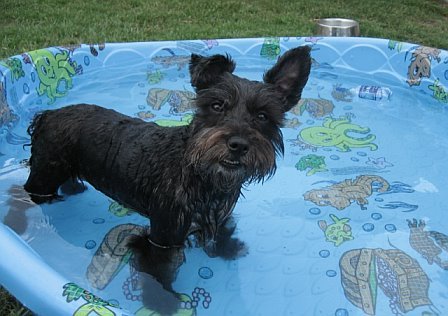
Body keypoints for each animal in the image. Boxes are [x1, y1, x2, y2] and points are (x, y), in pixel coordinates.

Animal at [23, 45, 312, 312]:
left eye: (263, 116)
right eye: (217, 105)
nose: (238, 145)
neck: (200, 174)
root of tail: (48, 114)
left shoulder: (218, 215)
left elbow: (220, 232)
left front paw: (226, 249)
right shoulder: (161, 238)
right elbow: (158, 272)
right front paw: (161, 303)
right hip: (44, 175)